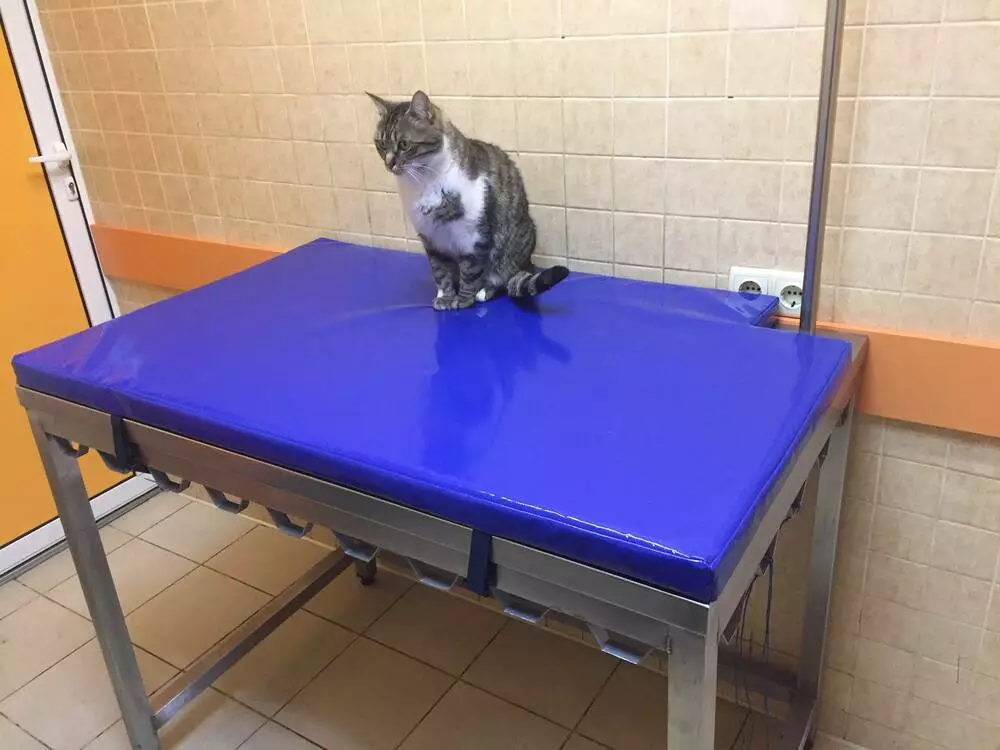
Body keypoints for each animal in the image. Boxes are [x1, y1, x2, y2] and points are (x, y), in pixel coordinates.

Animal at [368, 90, 569, 310]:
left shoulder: (474, 238)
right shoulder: (431, 240)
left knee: (503, 276)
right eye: (381, 144)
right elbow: (440, 272)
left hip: (513, 245)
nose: (389, 163)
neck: (423, 183)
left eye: (404, 144)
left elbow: (471, 271)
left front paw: (464, 299)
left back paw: (485, 291)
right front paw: (446, 296)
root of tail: (528, 262)